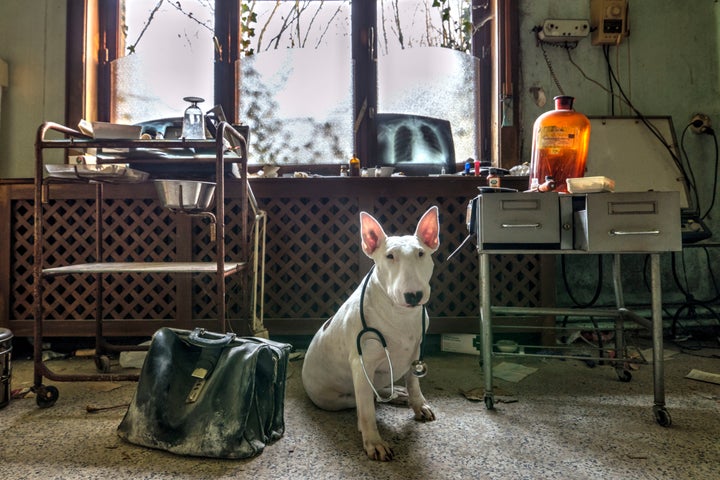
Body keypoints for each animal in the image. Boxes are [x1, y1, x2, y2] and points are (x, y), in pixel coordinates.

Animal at [298, 206, 438, 462]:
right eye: (389, 256)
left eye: (421, 253)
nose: (413, 295)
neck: (399, 314)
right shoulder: (361, 363)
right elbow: (367, 411)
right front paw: (374, 443)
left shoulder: (416, 352)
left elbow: (414, 383)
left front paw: (418, 405)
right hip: (337, 398)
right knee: (367, 400)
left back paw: (397, 393)